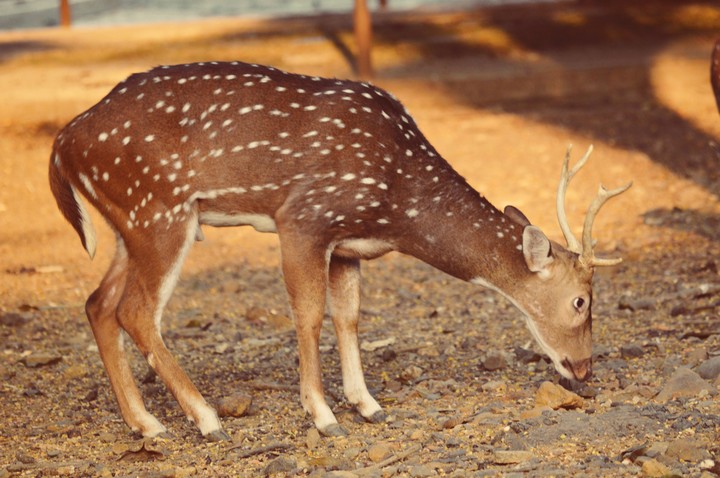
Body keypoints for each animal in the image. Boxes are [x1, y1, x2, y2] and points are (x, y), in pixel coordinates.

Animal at [49, 61, 631, 440]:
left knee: (98, 304)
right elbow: (308, 315)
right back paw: (206, 419)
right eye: (582, 300)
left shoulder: (349, 244)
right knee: (135, 309)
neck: (398, 205)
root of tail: (63, 142)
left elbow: (348, 316)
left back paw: (146, 424)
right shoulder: (302, 218)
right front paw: (323, 415)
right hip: (158, 210)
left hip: (127, 223)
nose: (584, 369)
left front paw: (367, 405)